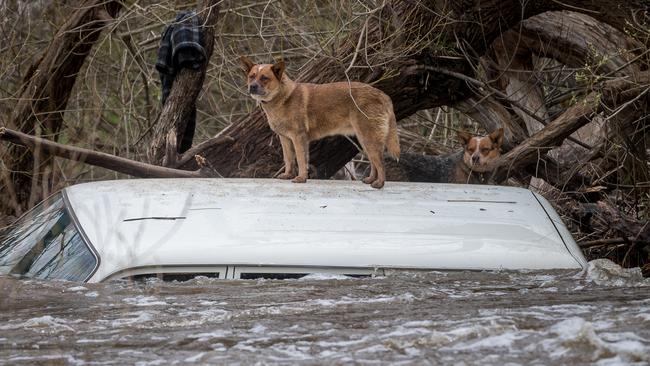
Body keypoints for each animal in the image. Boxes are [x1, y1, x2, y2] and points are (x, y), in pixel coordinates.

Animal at [240, 57, 398, 190]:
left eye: (264, 78)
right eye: (251, 76)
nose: (252, 86)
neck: (282, 98)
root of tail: (383, 95)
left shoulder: (299, 137)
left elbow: (300, 159)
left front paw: (301, 178)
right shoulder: (285, 138)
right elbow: (289, 159)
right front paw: (288, 175)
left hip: (369, 137)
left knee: (380, 163)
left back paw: (379, 184)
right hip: (364, 139)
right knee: (373, 162)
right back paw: (370, 180)